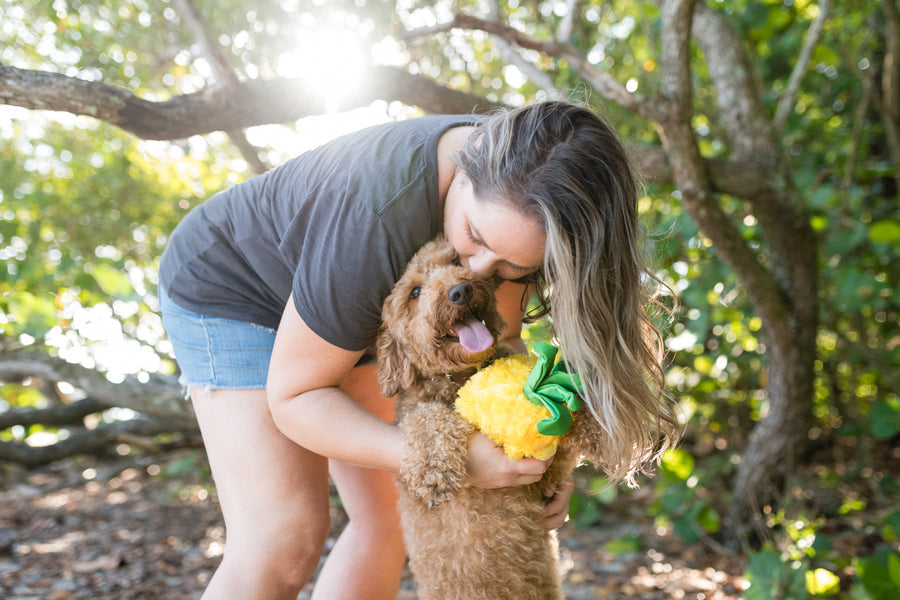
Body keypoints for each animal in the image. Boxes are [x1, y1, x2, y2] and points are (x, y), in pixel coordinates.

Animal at [376, 236, 600, 600]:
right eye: (414, 292)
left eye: (455, 262)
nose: (461, 291)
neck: (457, 379)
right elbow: (425, 417)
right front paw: (435, 469)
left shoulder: (548, 477)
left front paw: (598, 426)